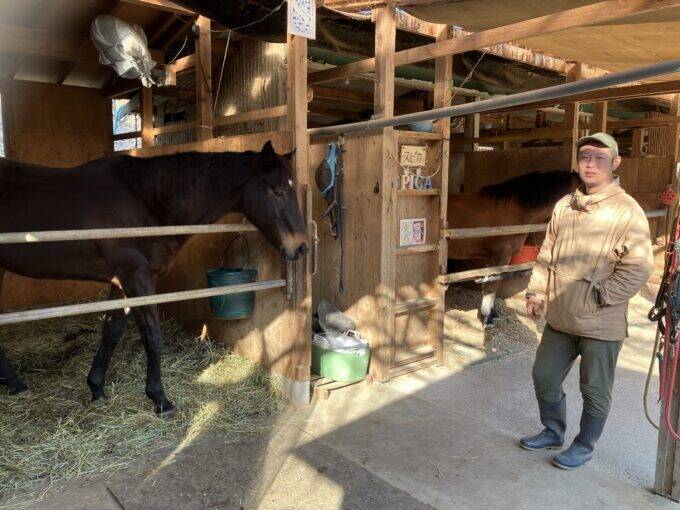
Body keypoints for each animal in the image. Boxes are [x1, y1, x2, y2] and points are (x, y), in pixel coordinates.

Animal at [0, 140, 308, 417]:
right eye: (278, 192)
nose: (301, 247)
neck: (142, 200)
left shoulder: (120, 283)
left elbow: (111, 332)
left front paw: (96, 388)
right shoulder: (138, 279)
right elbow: (153, 337)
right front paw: (160, 400)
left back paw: (16, 385)